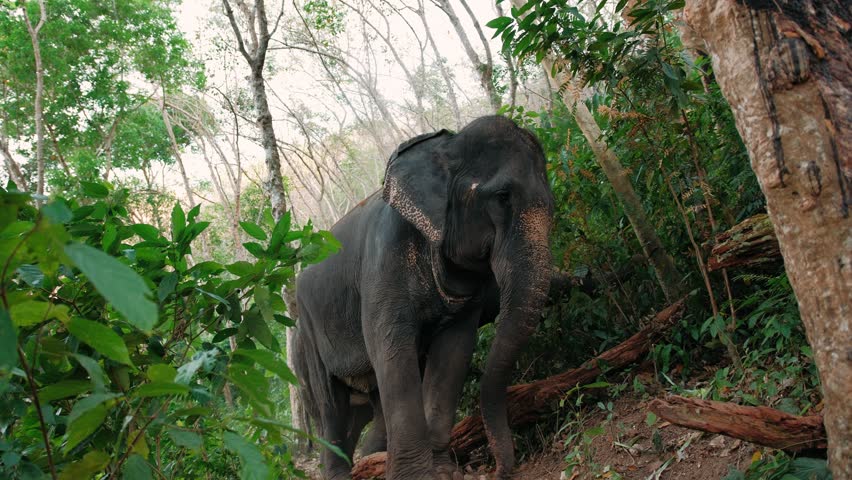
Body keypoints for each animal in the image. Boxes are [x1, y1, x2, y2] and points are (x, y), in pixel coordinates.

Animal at [292, 115, 554, 480]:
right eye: (502, 196)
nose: (496, 471)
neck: (445, 146)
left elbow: (454, 352)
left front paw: (444, 473)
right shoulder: (383, 260)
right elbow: (391, 348)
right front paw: (416, 476)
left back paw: (372, 460)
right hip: (307, 335)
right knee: (331, 405)